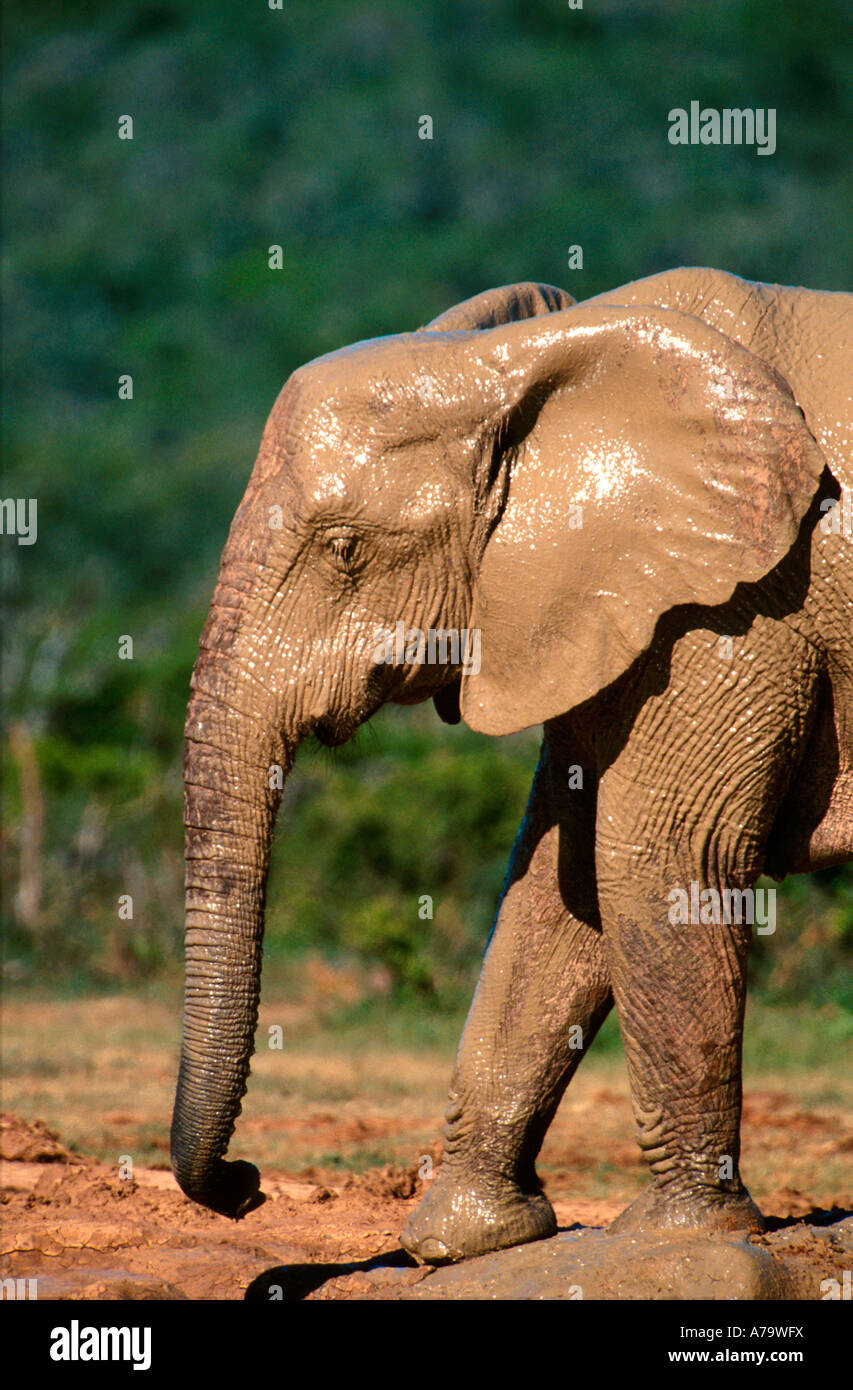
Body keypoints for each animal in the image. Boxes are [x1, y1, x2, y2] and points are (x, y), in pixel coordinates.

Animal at [170, 266, 853, 1266]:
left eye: (345, 550)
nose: (247, 1186)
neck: (514, 366)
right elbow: (559, 888)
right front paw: (465, 1240)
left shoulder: (746, 604)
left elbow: (654, 860)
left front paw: (679, 1241)